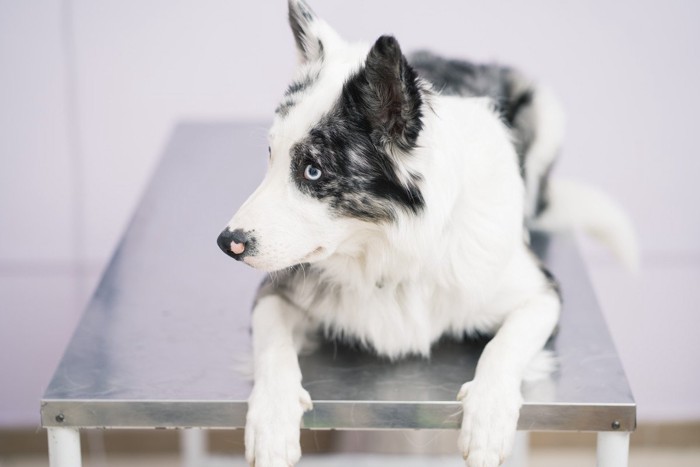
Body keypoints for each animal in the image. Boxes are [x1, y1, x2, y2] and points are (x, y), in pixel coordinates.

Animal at [216, 1, 636, 466]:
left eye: (313, 171)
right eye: (271, 155)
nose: (227, 242)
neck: (390, 253)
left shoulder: (541, 292)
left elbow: (503, 346)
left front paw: (489, 413)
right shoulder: (277, 290)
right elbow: (273, 347)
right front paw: (271, 421)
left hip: (545, 110)